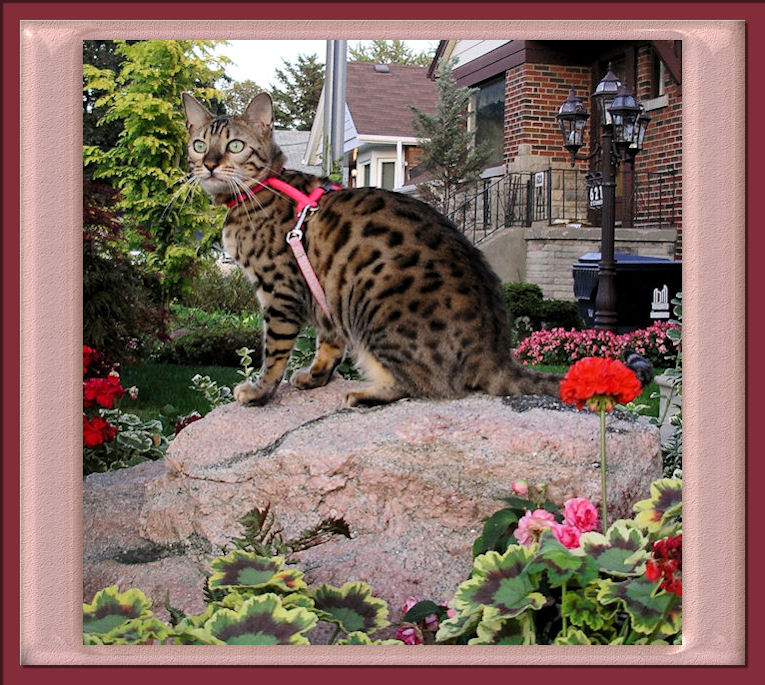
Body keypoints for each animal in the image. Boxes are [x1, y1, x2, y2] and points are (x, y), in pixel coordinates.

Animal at [181, 93, 580, 408]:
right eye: (199, 145)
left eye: (235, 145)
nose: (209, 164)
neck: (258, 189)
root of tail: (496, 354)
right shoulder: (327, 293)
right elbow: (329, 342)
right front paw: (315, 376)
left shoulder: (279, 291)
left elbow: (275, 352)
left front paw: (260, 392)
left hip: (372, 303)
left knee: (428, 386)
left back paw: (366, 393)